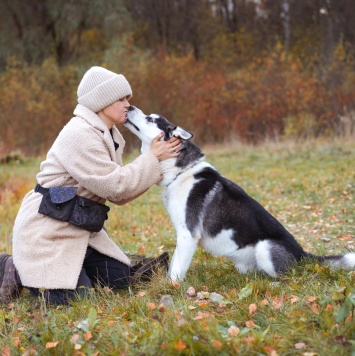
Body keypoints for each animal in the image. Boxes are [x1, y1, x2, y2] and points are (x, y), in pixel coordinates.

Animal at [125, 105, 355, 280]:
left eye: (151, 119)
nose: (129, 107)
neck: (181, 173)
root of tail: (303, 254)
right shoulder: (182, 235)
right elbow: (174, 263)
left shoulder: (188, 234)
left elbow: (176, 271)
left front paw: (172, 290)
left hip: (265, 247)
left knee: (285, 278)